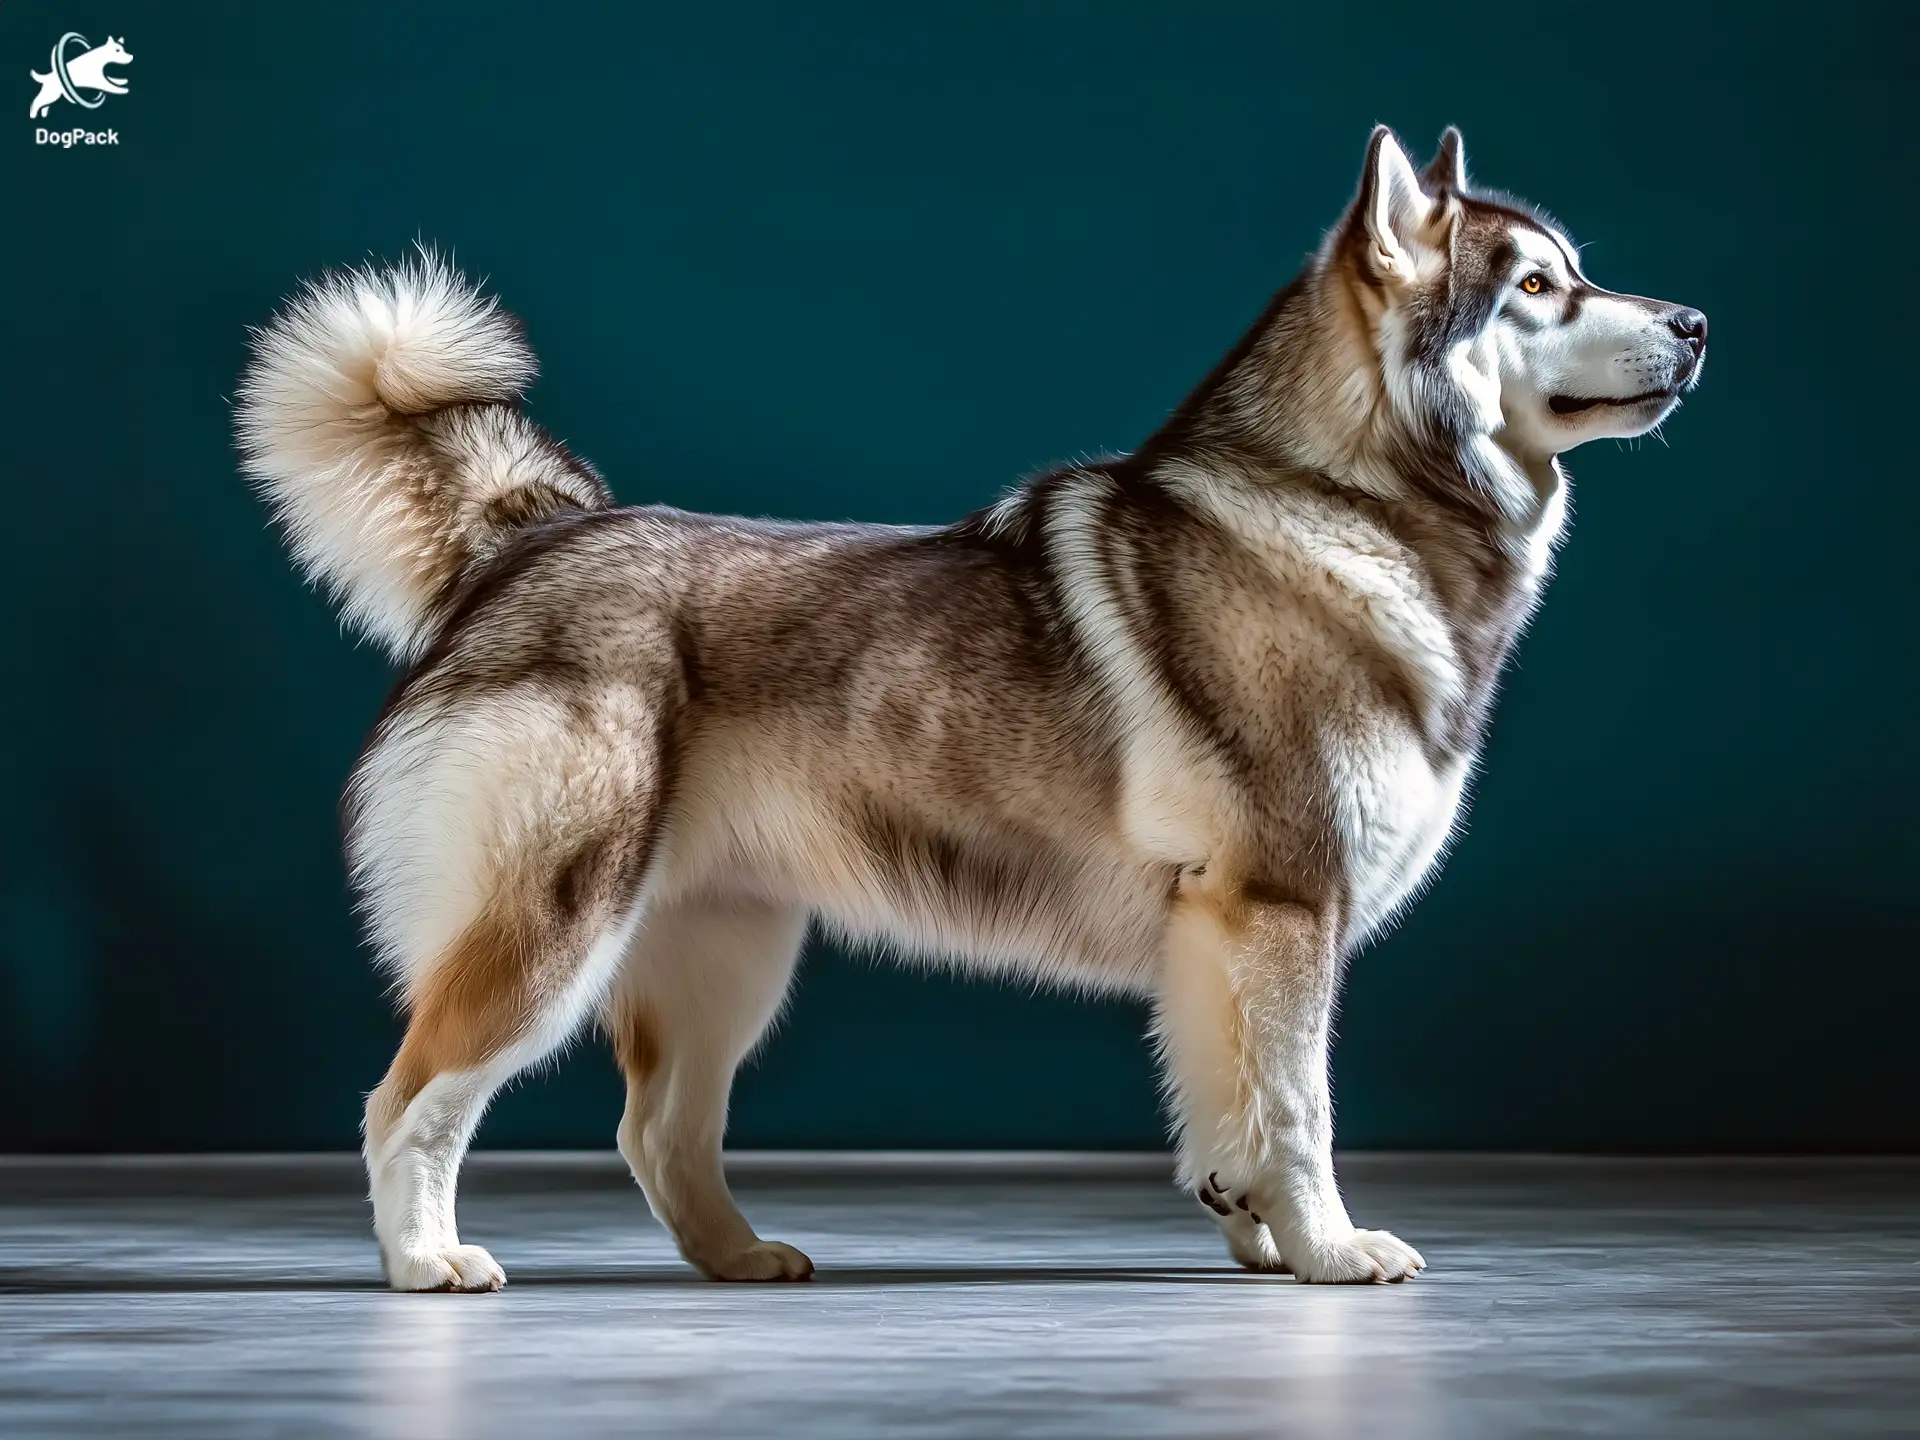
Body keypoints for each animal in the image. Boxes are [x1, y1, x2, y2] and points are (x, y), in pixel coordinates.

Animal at [240, 126, 1712, 1297]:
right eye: (1538, 287)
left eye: (1575, 271)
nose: (1699, 322)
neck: (1348, 502)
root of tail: (532, 538)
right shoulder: (1282, 909)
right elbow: (1301, 1111)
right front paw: (1336, 1250)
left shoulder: (1217, 939)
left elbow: (1229, 1110)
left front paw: (1258, 1238)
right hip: (554, 926)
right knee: (406, 1100)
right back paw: (426, 1263)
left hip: (729, 956)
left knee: (657, 1129)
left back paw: (740, 1260)